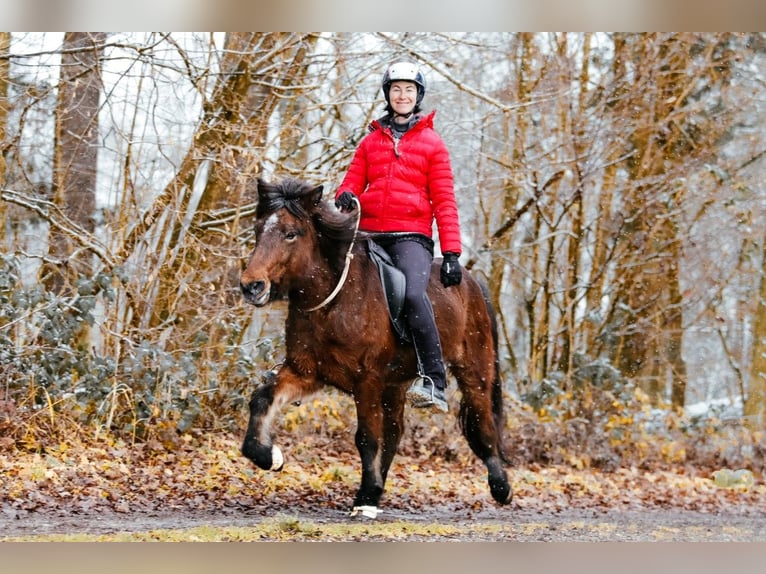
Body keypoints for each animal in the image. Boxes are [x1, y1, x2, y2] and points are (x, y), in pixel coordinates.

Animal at [239, 177, 512, 518]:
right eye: (258, 229)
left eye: (291, 233)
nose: (251, 286)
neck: (333, 301)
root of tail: (471, 282)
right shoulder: (306, 372)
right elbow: (262, 399)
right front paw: (269, 456)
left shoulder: (366, 380)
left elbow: (367, 438)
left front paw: (366, 496)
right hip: (395, 383)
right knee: (395, 432)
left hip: (474, 371)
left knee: (483, 424)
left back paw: (501, 488)